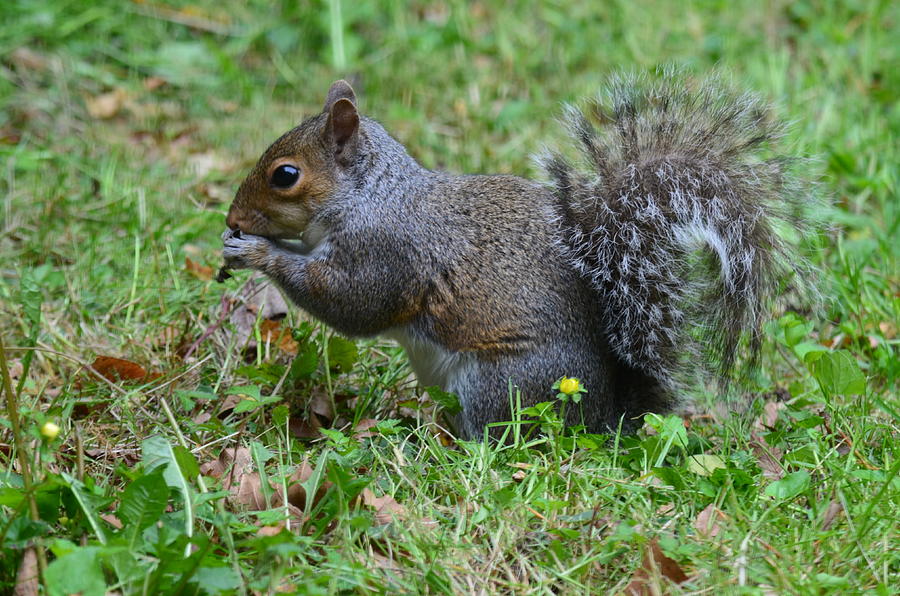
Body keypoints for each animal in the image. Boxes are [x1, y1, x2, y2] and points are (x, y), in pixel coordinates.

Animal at [220, 72, 816, 440]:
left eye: (286, 175)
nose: (233, 218)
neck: (373, 195)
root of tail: (605, 415)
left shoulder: (389, 251)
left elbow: (352, 303)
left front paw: (259, 252)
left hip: (499, 383)